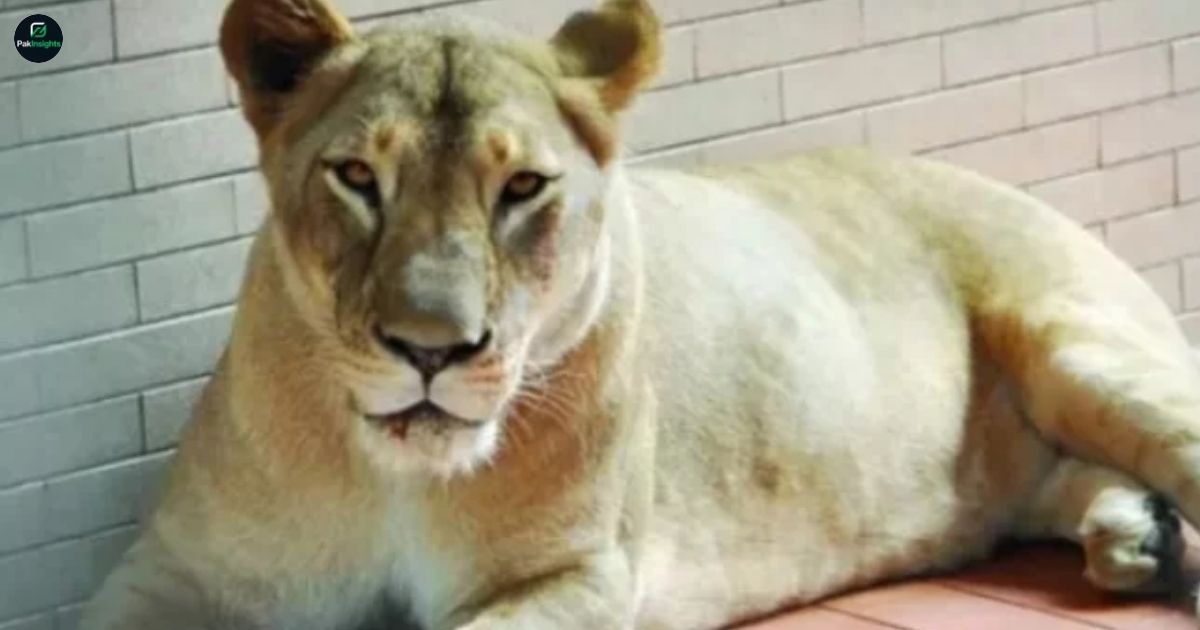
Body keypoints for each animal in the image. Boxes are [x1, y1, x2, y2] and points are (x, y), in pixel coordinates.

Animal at [80, 1, 1200, 628]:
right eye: (358, 176)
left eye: (522, 188)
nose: (430, 351)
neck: (394, 477)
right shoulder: (172, 575)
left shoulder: (580, 574)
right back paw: (1138, 535)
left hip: (1082, 350)